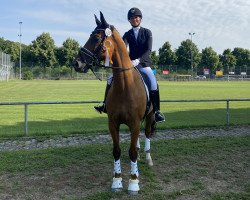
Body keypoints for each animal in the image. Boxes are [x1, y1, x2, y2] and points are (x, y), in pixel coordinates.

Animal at [73, 12, 154, 194]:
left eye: (96, 37)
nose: (76, 63)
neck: (125, 85)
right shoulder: (113, 123)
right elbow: (117, 151)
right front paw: (117, 180)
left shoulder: (135, 122)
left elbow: (132, 152)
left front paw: (133, 182)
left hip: (150, 117)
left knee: (146, 134)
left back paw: (148, 158)